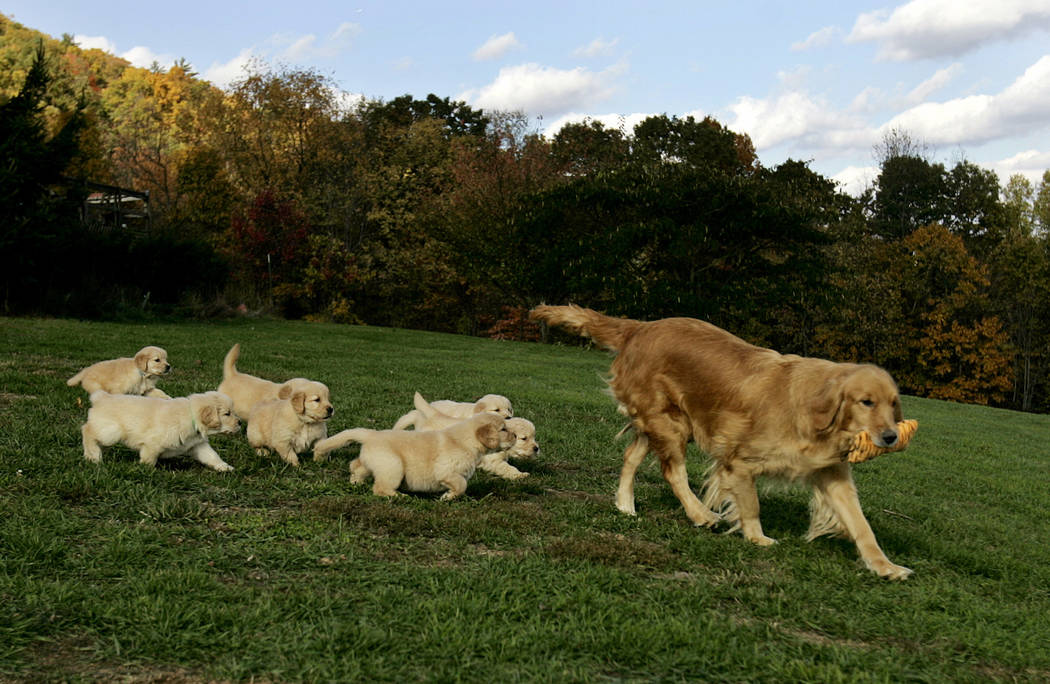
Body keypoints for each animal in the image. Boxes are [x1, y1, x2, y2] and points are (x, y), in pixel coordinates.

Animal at [79, 390, 240, 470]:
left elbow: (212, 456)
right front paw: (145, 470)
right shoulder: (152, 444)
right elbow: (149, 459)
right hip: (111, 431)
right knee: (87, 431)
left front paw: (224, 467)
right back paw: (93, 457)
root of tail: (101, 397)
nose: (239, 423)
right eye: (227, 414)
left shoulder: (197, 445)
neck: (191, 416)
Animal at [312, 409, 514, 500]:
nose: (515, 436)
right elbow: (461, 485)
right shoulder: (446, 471)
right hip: (393, 466)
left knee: (356, 465)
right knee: (379, 488)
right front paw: (447, 497)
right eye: (503, 429)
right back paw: (400, 496)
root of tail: (372, 434)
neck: (466, 440)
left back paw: (356, 482)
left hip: (374, 462)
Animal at [533, 304, 911, 579]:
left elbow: (861, 524)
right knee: (673, 472)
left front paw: (885, 566)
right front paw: (757, 537)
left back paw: (626, 505)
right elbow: (751, 505)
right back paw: (701, 514)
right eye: (866, 402)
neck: (814, 412)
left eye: (893, 403)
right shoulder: (738, 460)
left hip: (662, 422)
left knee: (630, 457)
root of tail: (641, 327)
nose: (891, 436)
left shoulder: (832, 474)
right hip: (672, 423)